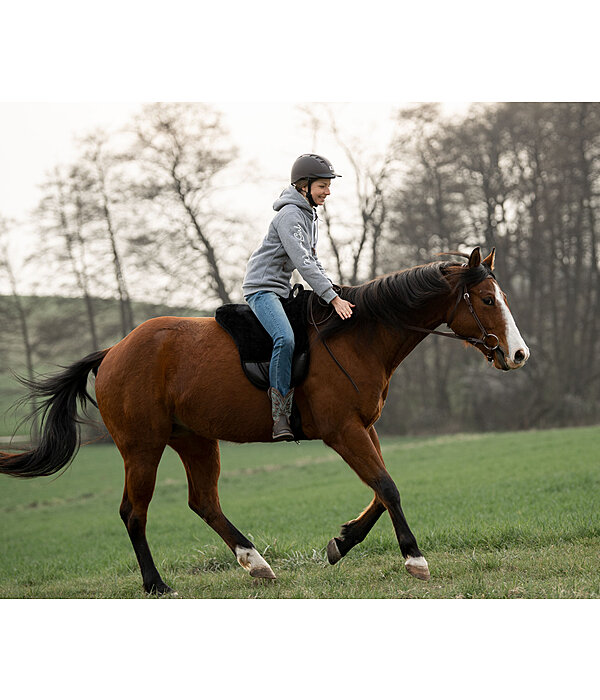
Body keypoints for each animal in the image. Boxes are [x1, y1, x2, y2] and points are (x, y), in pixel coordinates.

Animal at [0, 249, 528, 592]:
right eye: (486, 300)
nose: (519, 354)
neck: (358, 334)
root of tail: (112, 351)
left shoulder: (364, 427)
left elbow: (381, 490)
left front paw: (342, 542)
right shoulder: (343, 432)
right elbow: (388, 487)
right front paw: (414, 559)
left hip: (194, 440)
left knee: (204, 502)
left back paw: (255, 563)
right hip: (142, 448)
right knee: (134, 512)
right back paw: (156, 583)